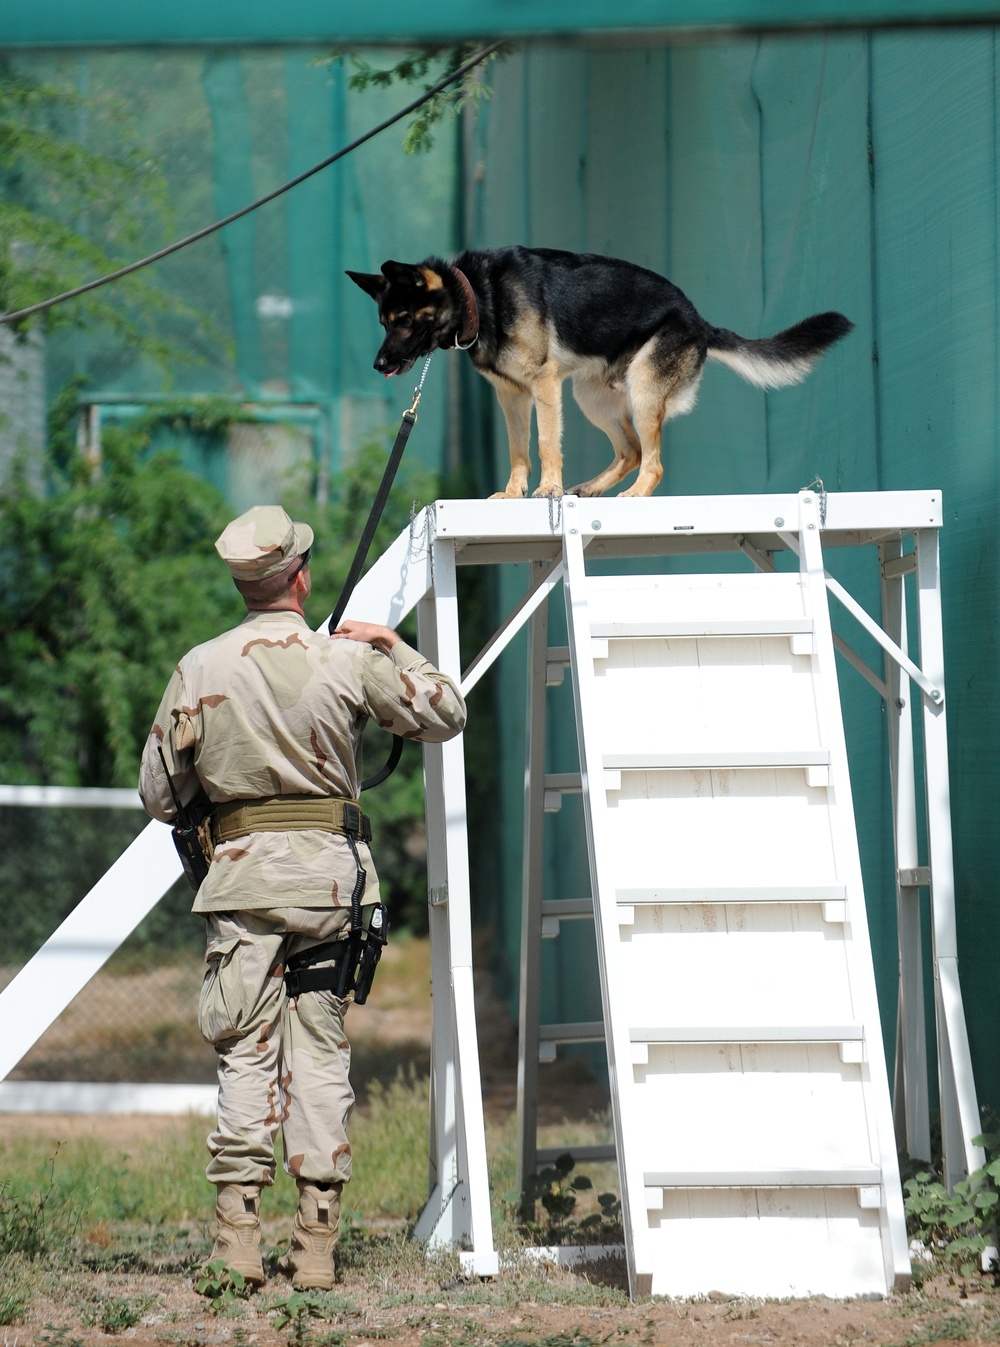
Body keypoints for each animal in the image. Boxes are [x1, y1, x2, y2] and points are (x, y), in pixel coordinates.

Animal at [350, 245, 851, 498]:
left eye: (403, 320)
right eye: (383, 322)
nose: (378, 365)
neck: (480, 294)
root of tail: (699, 321)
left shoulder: (543, 385)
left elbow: (545, 445)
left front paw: (547, 490)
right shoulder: (512, 396)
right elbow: (518, 451)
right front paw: (513, 493)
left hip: (641, 391)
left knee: (653, 463)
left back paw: (631, 498)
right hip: (591, 398)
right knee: (631, 451)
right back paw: (591, 489)